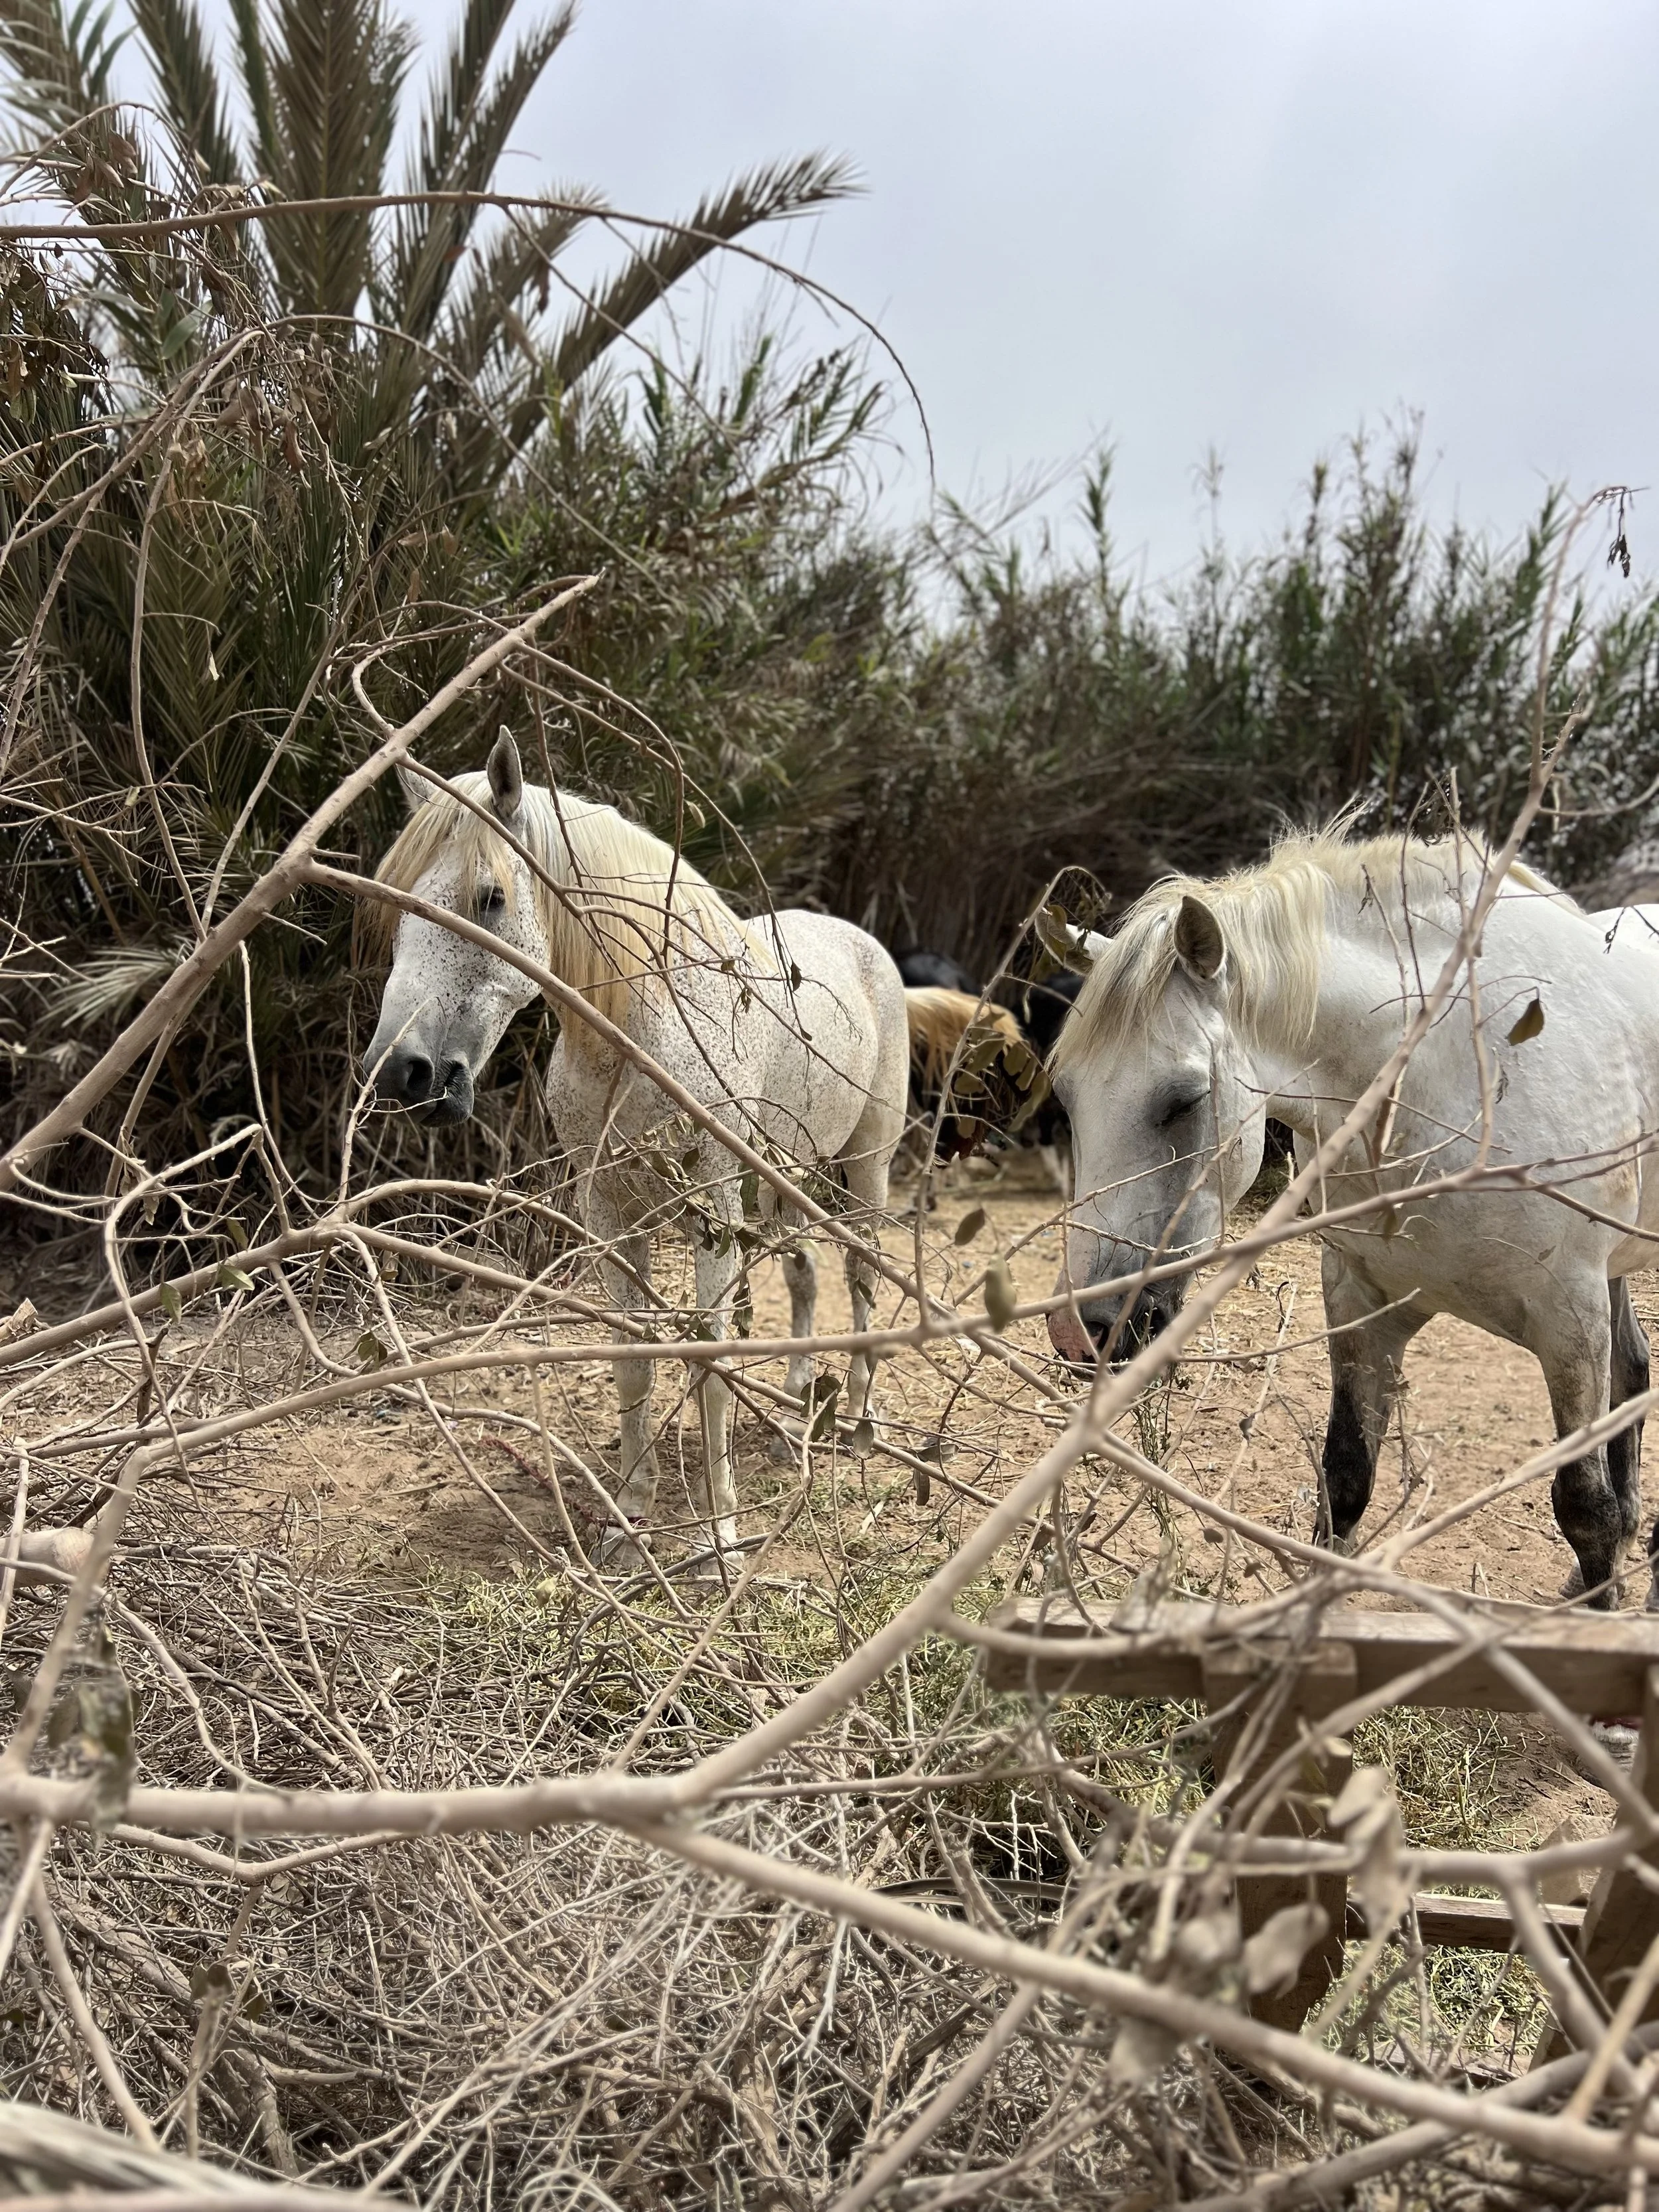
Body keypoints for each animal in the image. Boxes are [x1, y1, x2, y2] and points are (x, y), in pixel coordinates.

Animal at [364, 732, 911, 1562]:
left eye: (491, 897)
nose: (404, 1072)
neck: (637, 1033)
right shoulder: (610, 1213)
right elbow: (631, 1360)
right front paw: (630, 1520)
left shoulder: (712, 1210)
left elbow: (708, 1360)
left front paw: (720, 1539)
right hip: (781, 1177)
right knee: (806, 1273)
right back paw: (792, 1418)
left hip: (863, 1167)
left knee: (861, 1274)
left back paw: (857, 1423)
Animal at [1045, 827, 1659, 1610]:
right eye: (1065, 1094)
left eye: (1182, 1099)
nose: (1080, 1331)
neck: (1443, 1073)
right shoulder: (1361, 1301)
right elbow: (1345, 1480)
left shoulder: (1568, 1317)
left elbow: (1584, 1509)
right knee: (1634, 1371)